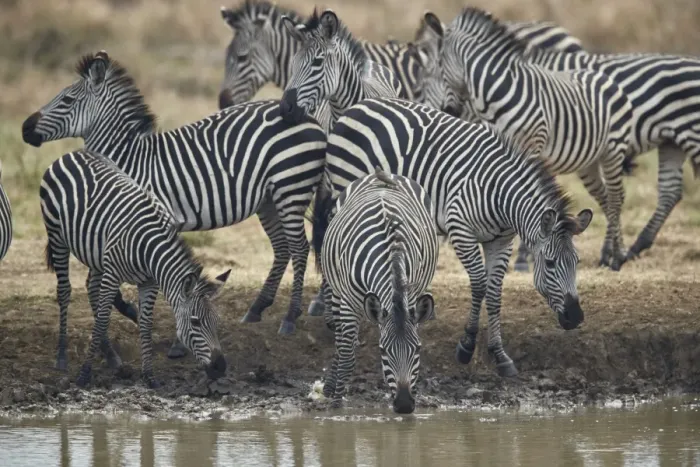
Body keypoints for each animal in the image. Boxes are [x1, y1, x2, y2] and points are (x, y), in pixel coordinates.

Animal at [21, 51, 327, 348]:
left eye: (67, 100)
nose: (25, 128)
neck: (128, 161)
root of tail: (311, 119)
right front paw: (132, 311)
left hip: (290, 188)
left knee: (300, 248)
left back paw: (289, 318)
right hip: (269, 199)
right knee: (283, 248)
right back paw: (256, 308)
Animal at [40, 150, 229, 387]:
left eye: (217, 321)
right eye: (195, 322)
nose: (220, 368)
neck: (149, 249)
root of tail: (71, 153)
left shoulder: (149, 282)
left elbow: (146, 323)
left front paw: (149, 375)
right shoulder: (113, 274)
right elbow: (102, 320)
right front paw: (84, 375)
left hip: (96, 255)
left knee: (91, 288)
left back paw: (111, 355)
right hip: (57, 236)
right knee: (65, 291)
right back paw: (62, 356)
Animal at [312, 167, 438, 413]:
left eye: (418, 349)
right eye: (383, 351)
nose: (404, 405)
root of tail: (383, 173)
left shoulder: (412, 294)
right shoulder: (349, 303)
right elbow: (347, 355)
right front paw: (337, 405)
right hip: (337, 292)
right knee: (340, 339)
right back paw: (331, 386)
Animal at [314, 97, 593, 377]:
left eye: (577, 262)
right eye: (550, 263)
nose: (576, 317)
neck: (499, 192)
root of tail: (358, 106)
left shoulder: (501, 240)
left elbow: (494, 293)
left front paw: (499, 354)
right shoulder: (461, 231)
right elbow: (479, 285)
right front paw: (467, 345)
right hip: (347, 185)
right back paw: (333, 316)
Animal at [417, 8, 633, 272]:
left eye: (437, 67)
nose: (449, 111)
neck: (494, 96)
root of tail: (606, 77)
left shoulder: (532, 146)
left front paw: (521, 258)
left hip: (613, 150)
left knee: (616, 198)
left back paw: (614, 256)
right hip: (589, 162)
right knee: (605, 198)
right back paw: (613, 252)